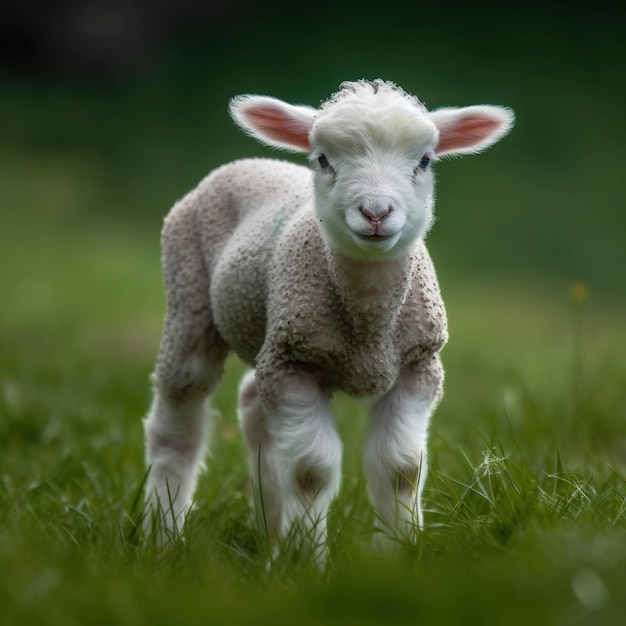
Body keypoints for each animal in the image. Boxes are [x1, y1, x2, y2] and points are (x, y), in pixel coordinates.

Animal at [144, 79, 516, 560]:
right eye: (323, 158)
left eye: (425, 160)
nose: (376, 212)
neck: (369, 325)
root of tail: (252, 162)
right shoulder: (296, 362)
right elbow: (310, 472)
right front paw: (305, 560)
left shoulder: (418, 363)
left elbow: (401, 469)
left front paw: (398, 554)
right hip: (190, 297)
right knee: (177, 423)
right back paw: (163, 537)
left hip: (269, 341)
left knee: (253, 406)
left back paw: (270, 531)